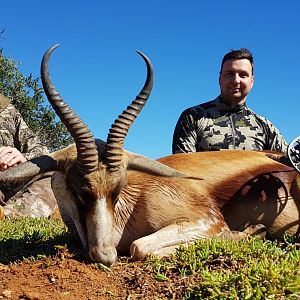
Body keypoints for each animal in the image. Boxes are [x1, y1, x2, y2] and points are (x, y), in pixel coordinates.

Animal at [0, 44, 298, 264]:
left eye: (118, 190)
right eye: (79, 190)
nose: (105, 256)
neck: (132, 205)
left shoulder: (208, 220)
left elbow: (139, 247)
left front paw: (250, 232)